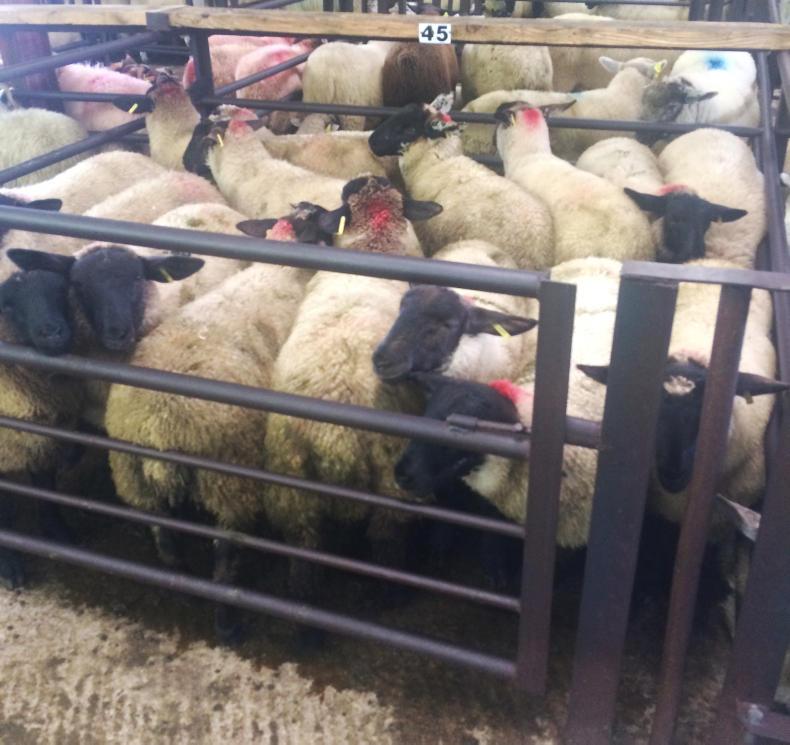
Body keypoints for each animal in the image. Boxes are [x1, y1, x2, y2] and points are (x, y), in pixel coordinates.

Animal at [104, 203, 334, 640]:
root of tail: (161, 426)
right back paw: (228, 623)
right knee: (225, 552)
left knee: (165, 542)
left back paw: (183, 584)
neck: (280, 271)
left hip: (134, 478)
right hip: (229, 479)